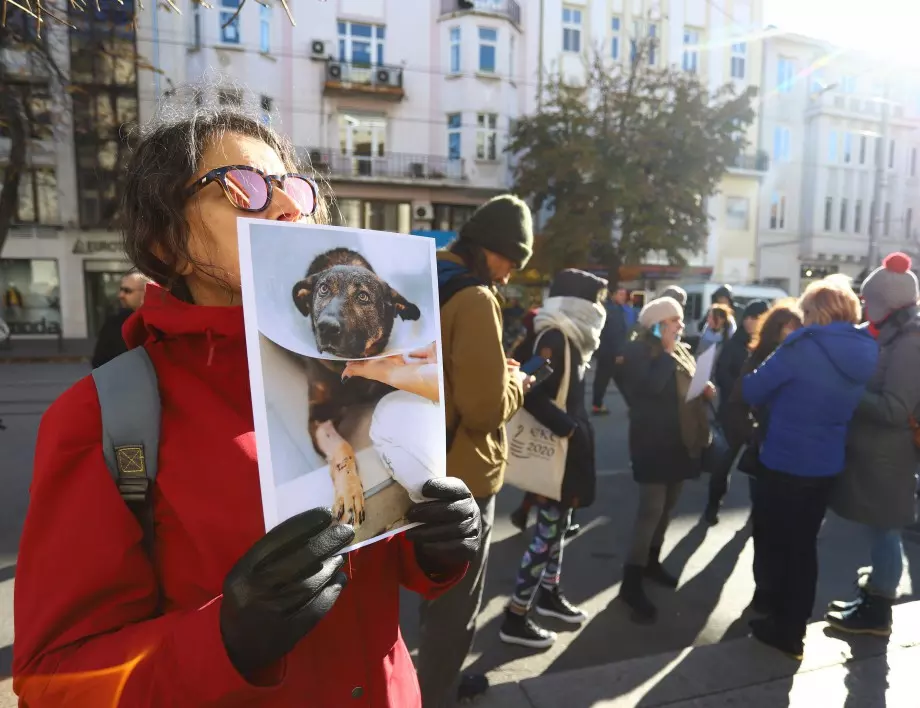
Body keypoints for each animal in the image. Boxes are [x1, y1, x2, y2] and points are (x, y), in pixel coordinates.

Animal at [292, 249, 420, 524]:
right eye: (323, 289)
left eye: (363, 296)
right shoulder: (319, 418)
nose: (326, 327)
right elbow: (342, 447)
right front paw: (350, 491)